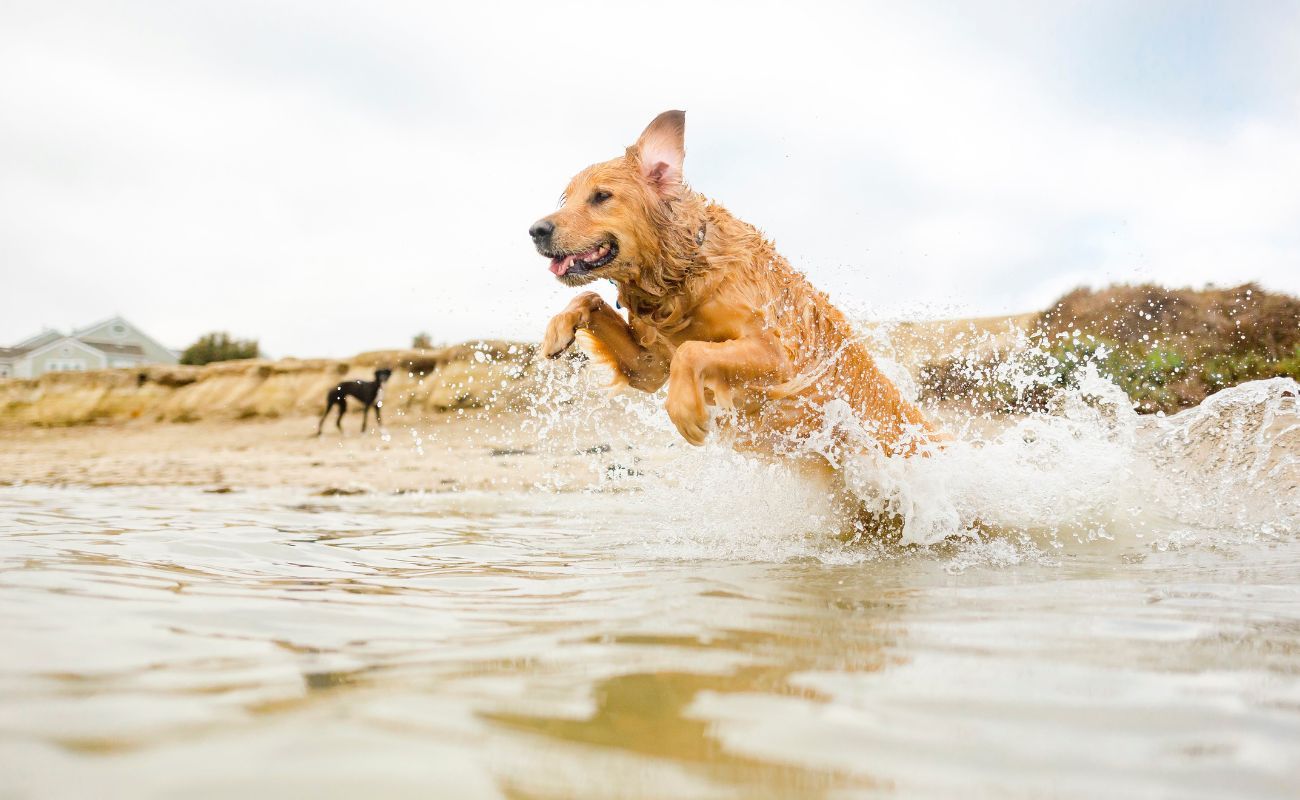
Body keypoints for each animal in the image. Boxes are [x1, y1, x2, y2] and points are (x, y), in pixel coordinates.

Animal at [530, 109, 946, 465]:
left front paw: (686, 410)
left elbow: (692, 352)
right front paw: (558, 331)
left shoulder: (778, 357)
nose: (536, 230)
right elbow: (589, 296)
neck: (681, 276)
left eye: (601, 196)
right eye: (566, 198)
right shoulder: (648, 368)